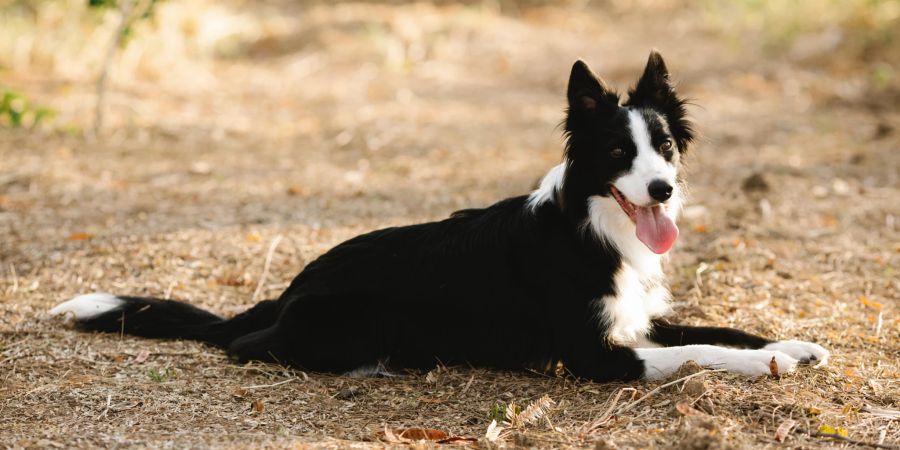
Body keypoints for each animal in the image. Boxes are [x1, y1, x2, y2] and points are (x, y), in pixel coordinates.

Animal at [49, 53, 828, 384]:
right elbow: (702, 350)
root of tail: (290, 288)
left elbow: (718, 327)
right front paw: (768, 363)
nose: (662, 189)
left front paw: (792, 343)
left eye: (663, 146)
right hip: (355, 319)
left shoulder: (636, 317)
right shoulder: (593, 354)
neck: (590, 227)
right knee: (247, 347)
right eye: (617, 153)